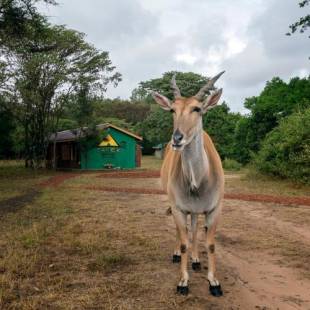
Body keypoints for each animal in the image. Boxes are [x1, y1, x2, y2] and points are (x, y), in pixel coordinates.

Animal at [153, 71, 225, 296]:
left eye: (197, 109)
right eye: (172, 110)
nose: (177, 138)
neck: (197, 183)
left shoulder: (214, 209)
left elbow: (210, 244)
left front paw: (214, 282)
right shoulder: (178, 207)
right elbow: (184, 240)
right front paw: (183, 281)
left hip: (195, 210)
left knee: (193, 228)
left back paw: (195, 259)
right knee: (183, 231)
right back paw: (178, 255)